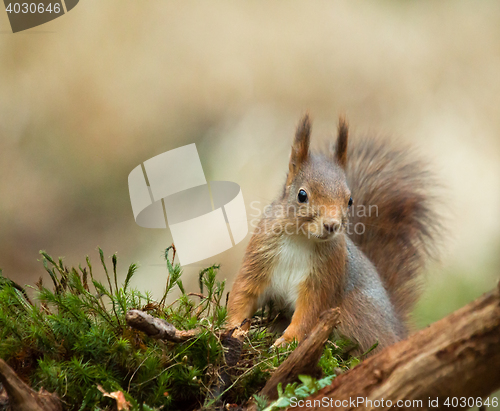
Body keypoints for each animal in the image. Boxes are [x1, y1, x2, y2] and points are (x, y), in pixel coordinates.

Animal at [226, 114, 438, 352]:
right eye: (302, 195)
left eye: (350, 200)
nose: (332, 225)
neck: (300, 239)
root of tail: (397, 330)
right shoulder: (259, 257)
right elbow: (244, 294)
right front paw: (234, 330)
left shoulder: (325, 277)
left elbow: (308, 313)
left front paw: (286, 343)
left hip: (355, 310)